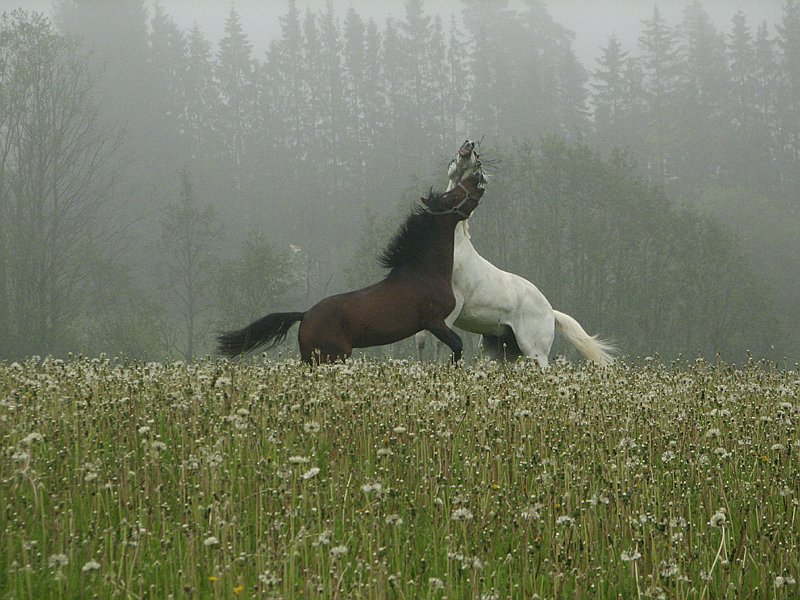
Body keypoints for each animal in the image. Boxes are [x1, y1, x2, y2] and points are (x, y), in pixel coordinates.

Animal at [216, 166, 484, 366]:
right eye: (451, 197)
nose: (477, 177)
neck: (424, 273)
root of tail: (305, 314)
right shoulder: (434, 321)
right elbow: (458, 346)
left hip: (313, 359)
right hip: (332, 357)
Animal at [416, 141, 616, 368]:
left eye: (477, 159)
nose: (468, 144)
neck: (454, 246)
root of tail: (551, 312)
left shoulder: (454, 304)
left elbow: (439, 342)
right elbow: (421, 340)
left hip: (535, 353)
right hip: (498, 351)